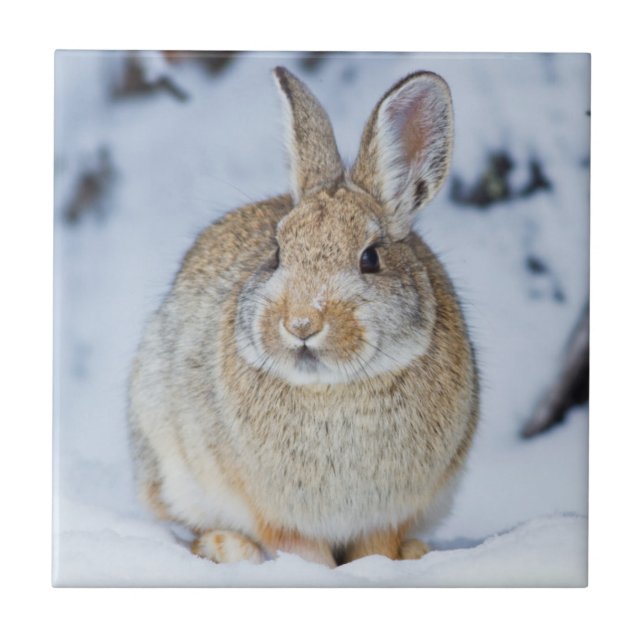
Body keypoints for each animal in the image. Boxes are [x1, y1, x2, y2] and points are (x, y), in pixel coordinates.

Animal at [128, 66, 479, 567]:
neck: (334, 388)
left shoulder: (387, 516)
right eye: (277, 254)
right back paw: (229, 549)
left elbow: (376, 549)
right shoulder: (280, 517)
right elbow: (303, 552)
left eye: (370, 258)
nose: (300, 324)